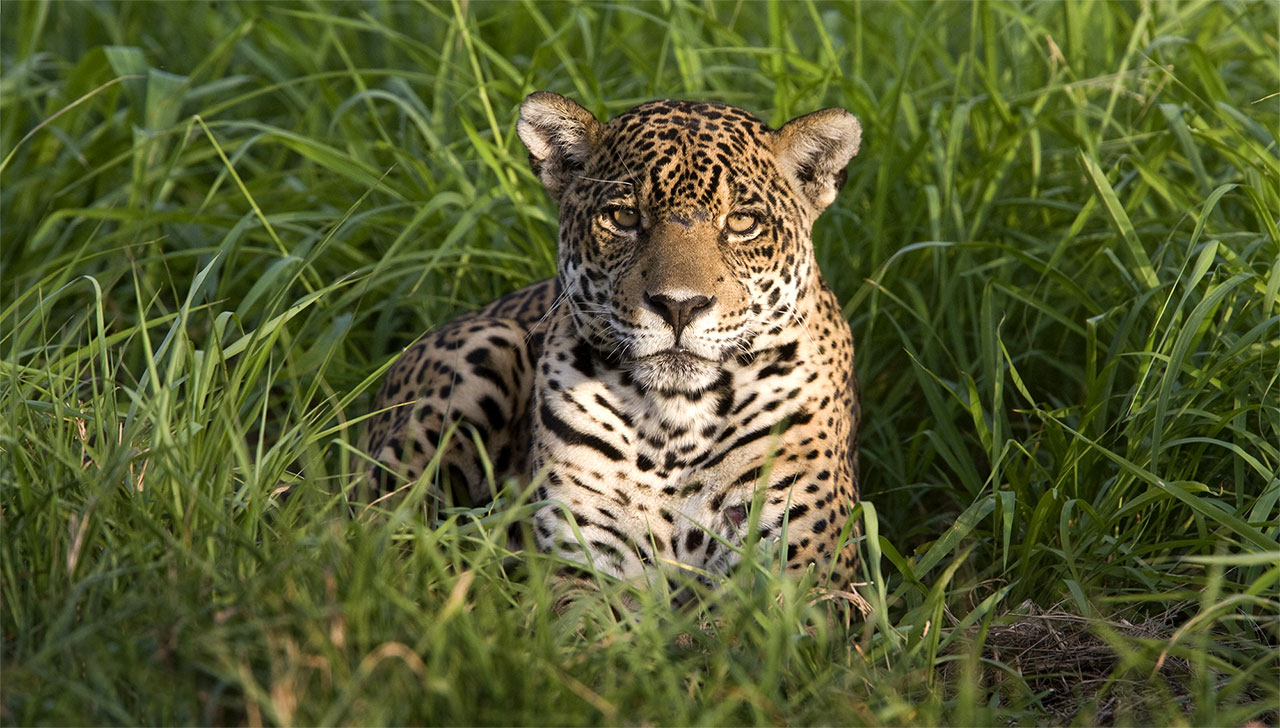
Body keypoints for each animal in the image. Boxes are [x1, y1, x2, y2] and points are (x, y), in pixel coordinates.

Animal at [364, 91, 864, 597]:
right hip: (484, 350)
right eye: (624, 217)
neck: (675, 425)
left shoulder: (811, 576)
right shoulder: (582, 566)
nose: (679, 305)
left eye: (743, 222)